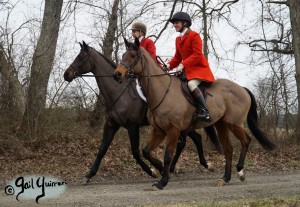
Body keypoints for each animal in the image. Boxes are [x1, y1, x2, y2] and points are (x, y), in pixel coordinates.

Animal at [62, 41, 220, 184]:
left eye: (81, 57)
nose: (66, 74)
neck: (119, 92)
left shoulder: (132, 126)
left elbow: (135, 152)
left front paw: (154, 170)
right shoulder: (112, 124)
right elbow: (102, 149)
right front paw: (89, 175)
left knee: (187, 141)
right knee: (195, 138)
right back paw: (193, 165)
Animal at [113, 38, 276, 190]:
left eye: (133, 56)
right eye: (123, 55)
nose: (117, 75)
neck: (161, 90)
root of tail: (242, 88)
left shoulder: (173, 130)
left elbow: (168, 156)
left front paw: (163, 180)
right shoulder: (159, 131)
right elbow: (146, 151)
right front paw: (158, 169)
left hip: (234, 123)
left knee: (246, 141)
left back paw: (240, 171)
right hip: (221, 124)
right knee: (228, 149)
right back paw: (225, 178)